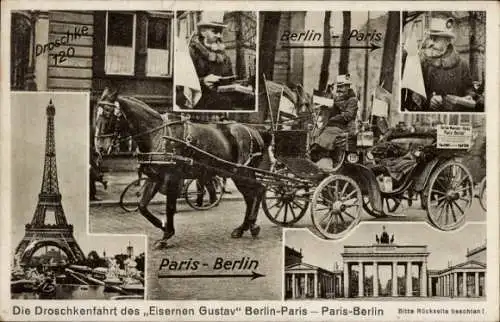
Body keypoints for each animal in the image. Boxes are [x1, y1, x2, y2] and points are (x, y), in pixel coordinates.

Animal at [94, 88, 274, 247]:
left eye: (108, 114)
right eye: (96, 115)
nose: (99, 148)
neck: (158, 135)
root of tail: (255, 131)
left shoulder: (172, 178)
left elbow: (170, 207)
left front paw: (166, 235)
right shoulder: (155, 177)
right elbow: (142, 206)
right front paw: (162, 226)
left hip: (243, 172)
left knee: (258, 190)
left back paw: (251, 225)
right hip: (238, 174)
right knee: (251, 196)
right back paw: (244, 228)